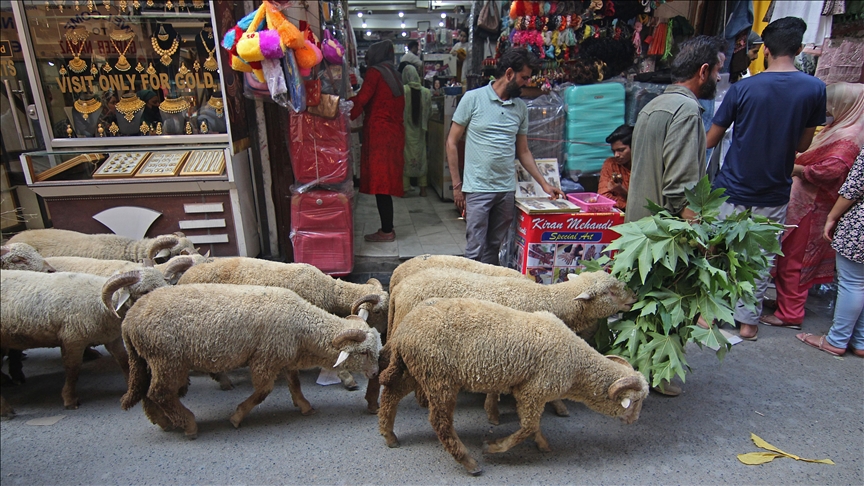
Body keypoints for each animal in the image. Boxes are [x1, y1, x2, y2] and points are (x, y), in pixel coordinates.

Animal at [0, 268, 169, 416]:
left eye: (163, 282)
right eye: (145, 291)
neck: (101, 304)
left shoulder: (112, 339)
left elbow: (124, 362)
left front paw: (132, 389)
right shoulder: (73, 339)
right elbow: (73, 370)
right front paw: (70, 399)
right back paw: (6, 410)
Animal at [120, 282, 384, 438]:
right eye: (363, 353)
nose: (375, 374)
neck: (302, 325)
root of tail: (129, 319)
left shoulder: (283, 356)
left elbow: (295, 383)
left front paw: (304, 406)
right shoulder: (265, 359)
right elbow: (263, 392)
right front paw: (237, 417)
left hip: (151, 359)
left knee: (147, 392)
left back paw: (164, 422)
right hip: (167, 359)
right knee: (160, 393)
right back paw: (188, 425)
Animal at [176, 256, 388, 400]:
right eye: (378, 312)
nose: (385, 335)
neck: (327, 291)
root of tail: (183, 277)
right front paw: (348, 380)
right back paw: (220, 381)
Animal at [378, 296, 648, 474]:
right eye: (634, 401)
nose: (634, 421)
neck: (576, 364)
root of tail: (403, 331)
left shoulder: (531, 393)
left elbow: (534, 425)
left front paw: (543, 444)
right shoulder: (534, 391)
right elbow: (527, 428)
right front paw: (493, 447)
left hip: (416, 369)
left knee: (391, 395)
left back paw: (389, 435)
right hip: (438, 377)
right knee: (439, 421)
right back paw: (469, 462)